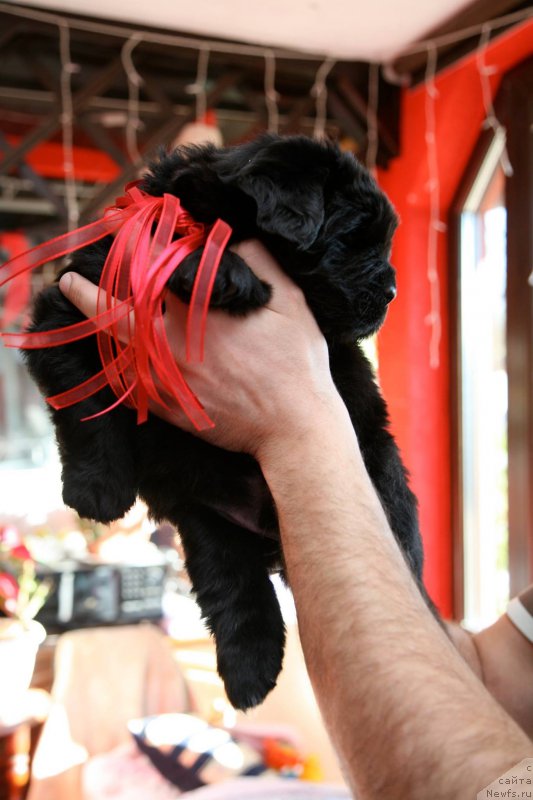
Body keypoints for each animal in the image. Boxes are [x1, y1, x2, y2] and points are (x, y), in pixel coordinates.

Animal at [23, 134, 424, 708]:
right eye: (354, 237)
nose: (391, 294)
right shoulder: (72, 308)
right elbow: (87, 404)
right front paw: (97, 492)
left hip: (374, 460)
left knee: (393, 522)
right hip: (212, 527)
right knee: (239, 596)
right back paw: (249, 677)